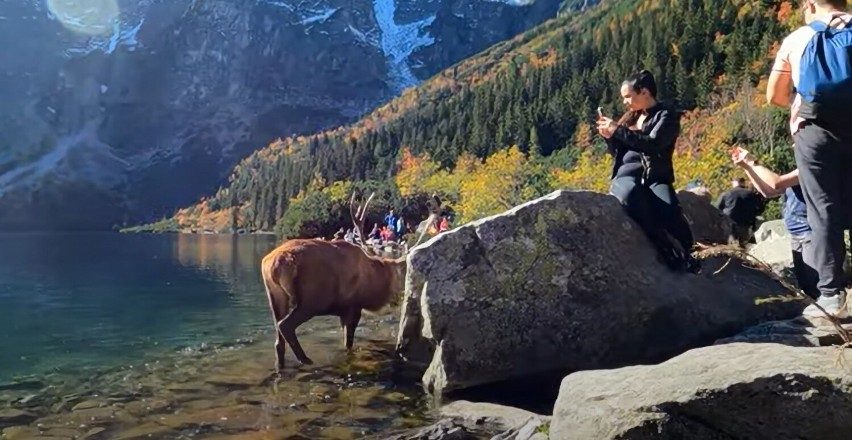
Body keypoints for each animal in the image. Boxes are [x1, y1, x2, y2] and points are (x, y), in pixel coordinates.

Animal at [260, 191, 436, 370]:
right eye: (403, 273)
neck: (376, 279)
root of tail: (276, 262)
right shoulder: (353, 306)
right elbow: (348, 343)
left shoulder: (344, 310)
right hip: (311, 300)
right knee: (285, 326)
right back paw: (306, 360)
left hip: (275, 296)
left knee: (278, 340)